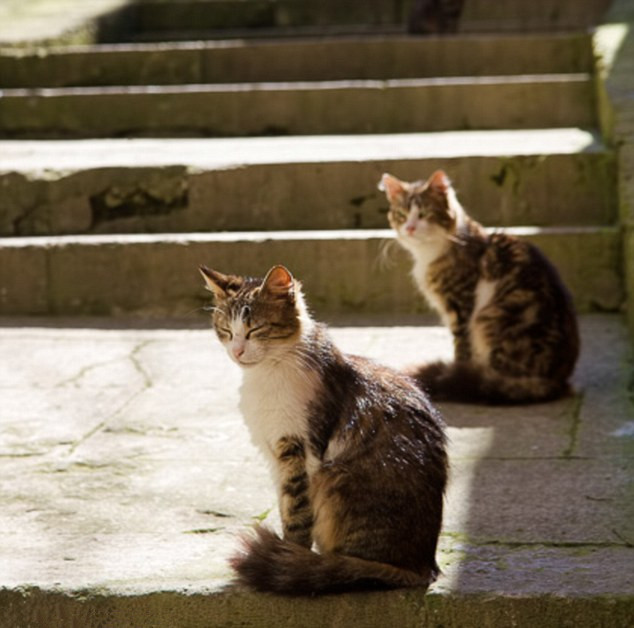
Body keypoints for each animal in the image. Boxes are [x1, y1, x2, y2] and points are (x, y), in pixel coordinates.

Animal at [200, 264, 446, 592]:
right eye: (226, 331)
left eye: (255, 330)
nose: (237, 351)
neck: (267, 374)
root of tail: (421, 566)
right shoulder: (275, 456)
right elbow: (285, 506)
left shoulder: (300, 451)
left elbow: (296, 513)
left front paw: (289, 555)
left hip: (335, 476)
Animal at [378, 168, 580, 402]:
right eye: (401, 215)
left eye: (424, 214)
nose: (410, 228)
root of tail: (556, 381)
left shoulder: (461, 307)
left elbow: (462, 349)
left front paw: (455, 370)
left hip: (488, 317)